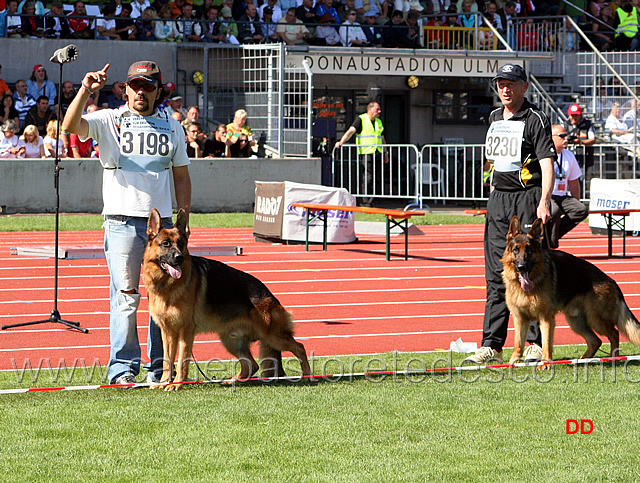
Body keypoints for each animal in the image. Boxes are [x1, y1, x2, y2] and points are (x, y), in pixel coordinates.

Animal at [142, 208, 310, 390]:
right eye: (166, 244)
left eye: (181, 243)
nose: (179, 257)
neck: (167, 285)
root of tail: (269, 295)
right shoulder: (168, 333)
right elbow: (167, 360)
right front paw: (164, 382)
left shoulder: (186, 332)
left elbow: (181, 361)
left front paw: (177, 384)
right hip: (231, 340)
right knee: (251, 364)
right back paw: (233, 380)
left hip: (272, 336)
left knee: (299, 347)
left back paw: (307, 376)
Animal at [502, 216, 640, 366]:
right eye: (516, 250)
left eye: (529, 250)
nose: (522, 267)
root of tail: (612, 280)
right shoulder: (520, 318)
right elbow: (518, 344)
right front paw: (512, 363)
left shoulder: (546, 318)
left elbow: (546, 343)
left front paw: (545, 363)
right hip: (576, 321)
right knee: (595, 340)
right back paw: (583, 360)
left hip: (596, 319)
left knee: (614, 334)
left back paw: (613, 358)